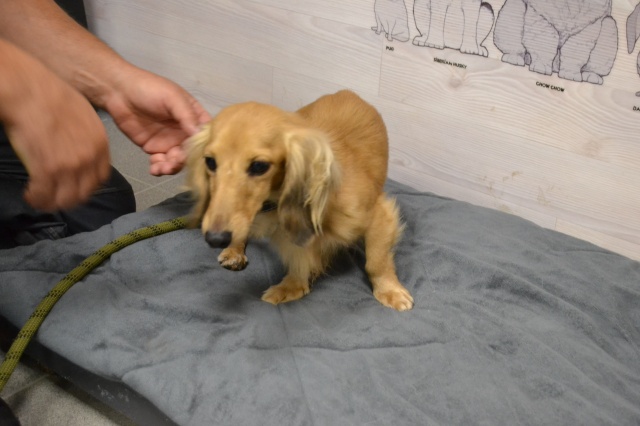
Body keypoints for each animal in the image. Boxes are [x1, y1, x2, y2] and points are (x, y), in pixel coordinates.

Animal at [185, 90, 414, 311]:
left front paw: (389, 291)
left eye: (259, 166)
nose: (215, 238)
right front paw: (292, 286)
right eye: (210, 162)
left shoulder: (380, 216)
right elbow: (298, 260)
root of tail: (348, 92)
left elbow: (376, 262)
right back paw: (234, 251)